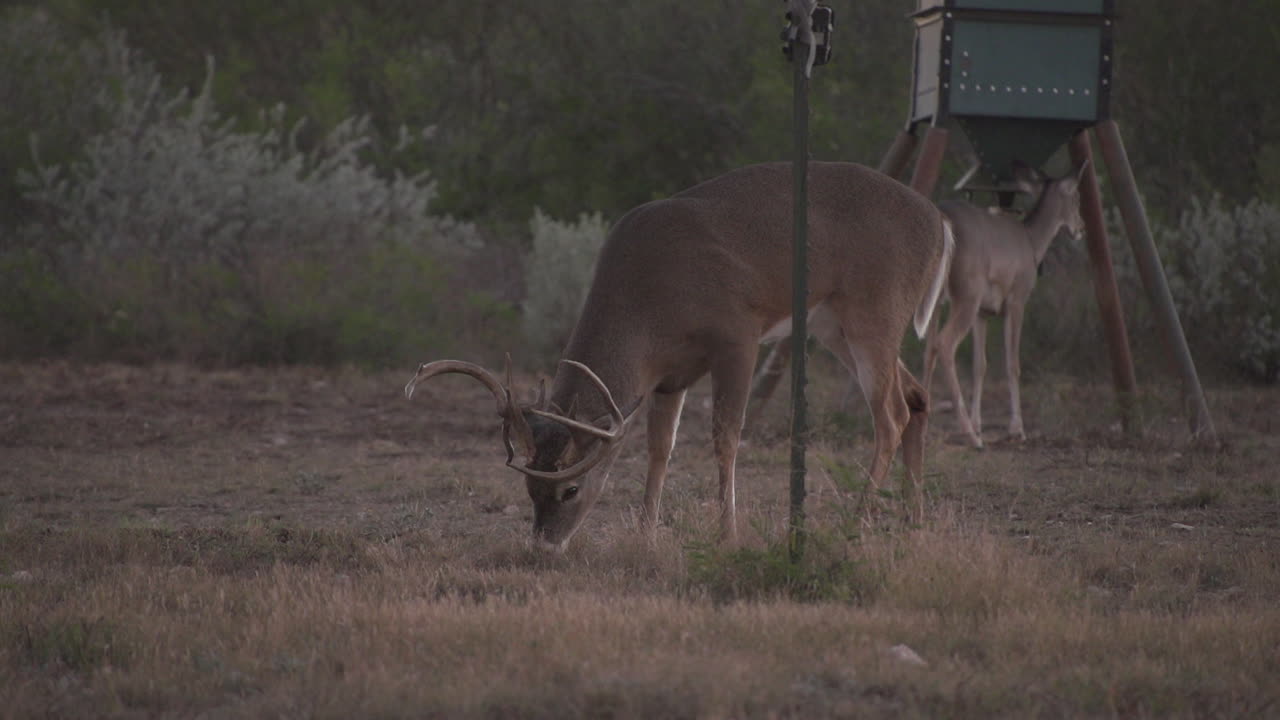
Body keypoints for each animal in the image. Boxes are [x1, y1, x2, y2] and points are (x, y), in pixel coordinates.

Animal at [405, 162, 954, 552]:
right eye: (529, 492)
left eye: (570, 491)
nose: (543, 548)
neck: (648, 302)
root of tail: (941, 223)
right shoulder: (669, 375)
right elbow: (659, 448)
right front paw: (646, 535)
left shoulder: (738, 334)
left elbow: (726, 437)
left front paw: (727, 535)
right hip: (832, 324)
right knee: (917, 396)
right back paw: (915, 522)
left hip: (875, 310)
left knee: (892, 414)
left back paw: (857, 523)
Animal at [923, 161, 1086, 449]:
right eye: (1077, 197)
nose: (1082, 228)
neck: (1032, 243)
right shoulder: (1018, 299)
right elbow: (1013, 364)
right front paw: (1016, 429)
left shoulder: (983, 312)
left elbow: (980, 365)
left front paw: (979, 424)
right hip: (968, 291)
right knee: (945, 343)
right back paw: (970, 436)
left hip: (940, 297)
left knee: (929, 347)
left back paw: (925, 421)